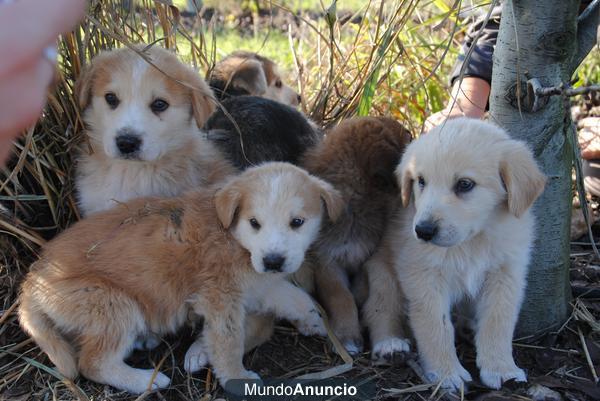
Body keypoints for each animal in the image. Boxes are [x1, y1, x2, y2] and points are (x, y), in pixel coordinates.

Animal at [18, 162, 342, 390]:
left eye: (297, 222)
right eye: (254, 222)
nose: (274, 260)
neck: (231, 235)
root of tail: (32, 283)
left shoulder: (258, 284)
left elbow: (294, 296)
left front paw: (315, 319)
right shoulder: (220, 299)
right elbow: (228, 344)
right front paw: (237, 379)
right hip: (112, 305)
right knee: (93, 363)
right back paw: (148, 381)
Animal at [300, 115, 412, 354]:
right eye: (408, 137)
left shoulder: (367, 258)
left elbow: (362, 291)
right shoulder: (327, 262)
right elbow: (341, 298)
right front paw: (346, 334)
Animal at [364, 116, 548, 390]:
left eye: (465, 184)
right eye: (421, 181)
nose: (423, 231)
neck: (472, 241)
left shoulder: (505, 275)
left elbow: (498, 322)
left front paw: (502, 369)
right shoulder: (424, 277)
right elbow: (435, 326)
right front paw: (445, 373)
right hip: (382, 272)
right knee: (380, 306)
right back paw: (390, 343)